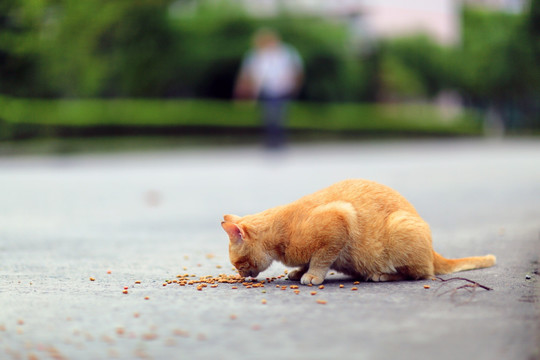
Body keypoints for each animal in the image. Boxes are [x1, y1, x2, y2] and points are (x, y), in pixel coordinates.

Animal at [221, 179, 496, 286]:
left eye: (239, 263)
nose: (241, 274)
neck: (280, 230)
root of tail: (432, 251)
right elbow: (309, 260)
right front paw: (299, 271)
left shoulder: (340, 219)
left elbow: (320, 259)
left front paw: (312, 275)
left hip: (400, 230)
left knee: (421, 274)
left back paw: (382, 275)